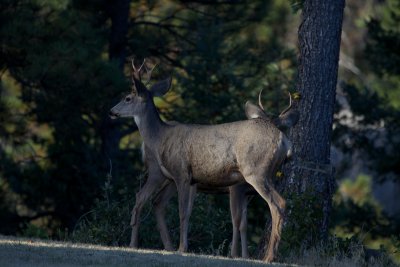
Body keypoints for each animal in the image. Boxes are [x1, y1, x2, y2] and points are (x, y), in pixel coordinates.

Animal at [109, 61, 296, 262]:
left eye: (128, 98)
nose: (111, 111)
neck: (160, 137)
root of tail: (284, 140)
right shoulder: (190, 179)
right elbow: (191, 212)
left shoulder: (182, 173)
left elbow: (183, 212)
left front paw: (182, 248)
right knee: (153, 201)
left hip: (255, 171)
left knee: (278, 204)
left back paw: (269, 257)